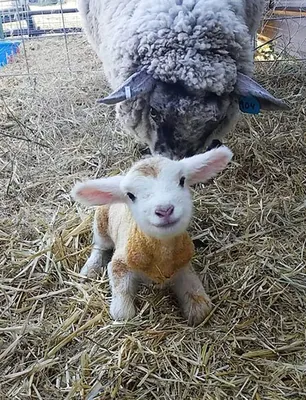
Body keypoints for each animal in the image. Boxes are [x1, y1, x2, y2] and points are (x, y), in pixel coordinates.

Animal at [71, 145, 232, 326]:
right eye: (130, 195)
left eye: (182, 180)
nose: (165, 210)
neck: (162, 255)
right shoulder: (120, 264)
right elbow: (122, 312)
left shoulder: (183, 264)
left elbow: (200, 304)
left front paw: (196, 309)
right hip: (101, 223)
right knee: (100, 246)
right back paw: (90, 268)